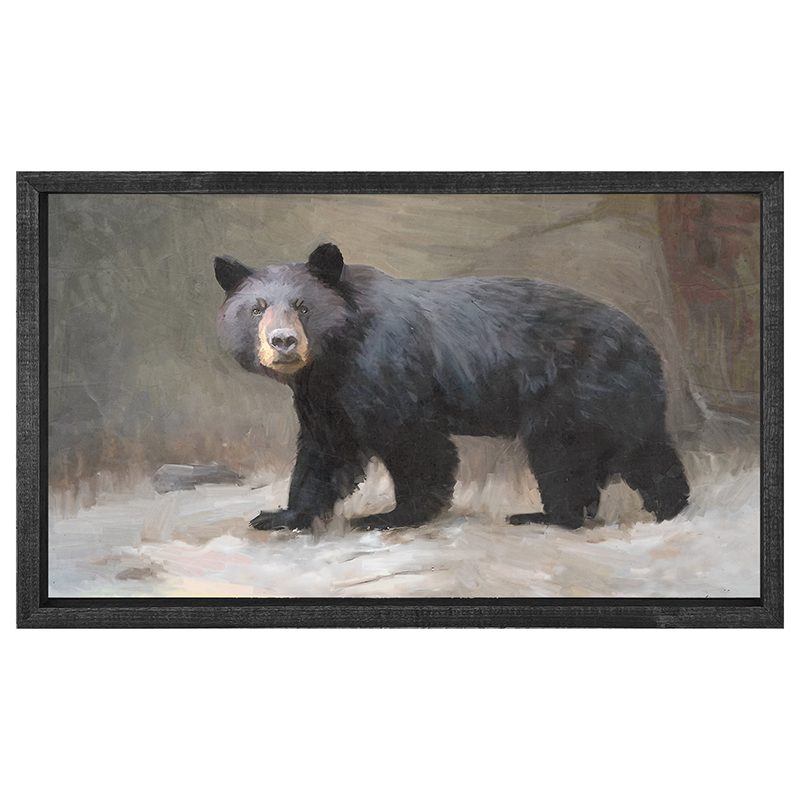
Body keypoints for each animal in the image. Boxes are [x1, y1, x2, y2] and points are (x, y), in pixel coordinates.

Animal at [215, 243, 689, 532]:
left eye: (303, 307)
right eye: (256, 309)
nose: (283, 342)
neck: (337, 352)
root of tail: (647, 343)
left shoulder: (386, 367)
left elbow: (413, 442)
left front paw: (392, 515)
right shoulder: (324, 394)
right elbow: (325, 450)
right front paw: (282, 515)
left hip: (578, 390)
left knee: (566, 455)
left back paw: (549, 515)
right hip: (615, 397)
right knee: (642, 449)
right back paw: (667, 505)